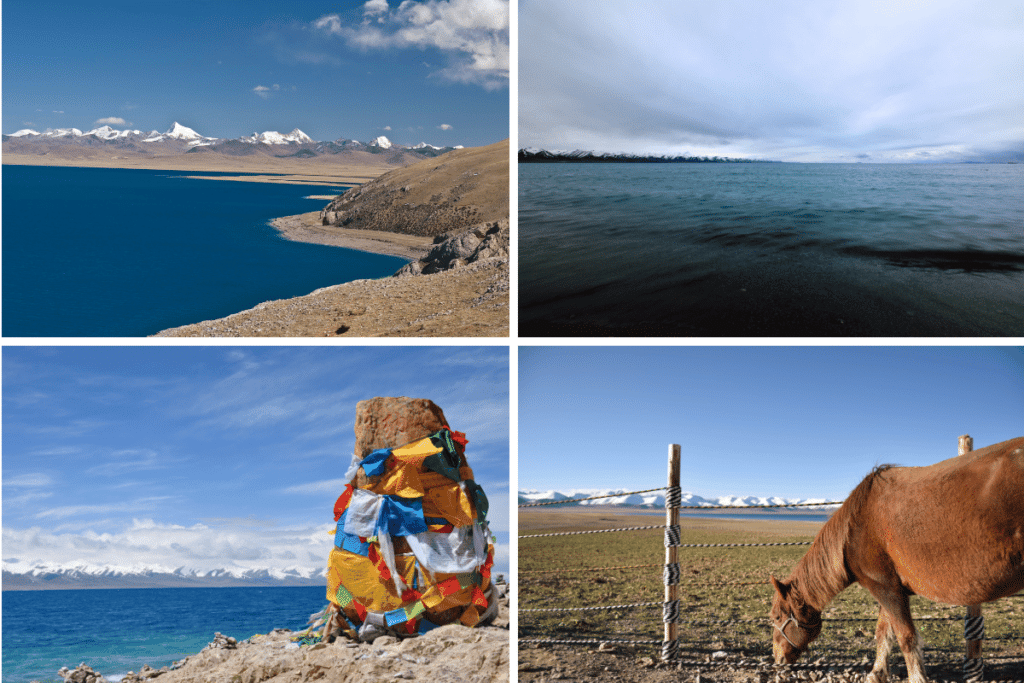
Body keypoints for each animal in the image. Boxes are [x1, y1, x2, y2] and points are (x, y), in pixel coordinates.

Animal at [770, 438, 1024, 683]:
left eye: (777, 617)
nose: (777, 658)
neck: (855, 526)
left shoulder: (886, 589)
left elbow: (905, 637)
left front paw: (917, 677)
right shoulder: (889, 588)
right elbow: (884, 632)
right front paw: (877, 673)